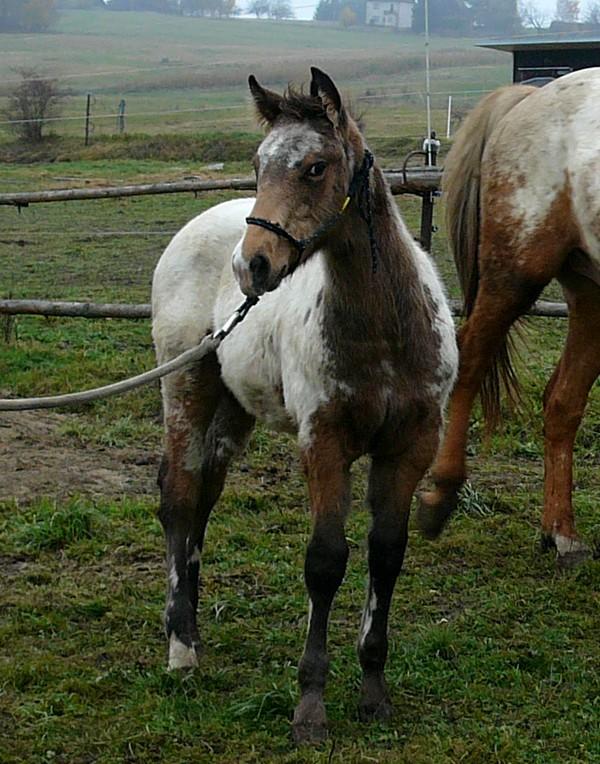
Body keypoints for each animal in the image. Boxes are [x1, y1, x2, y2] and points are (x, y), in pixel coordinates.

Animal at [151, 67, 458, 742]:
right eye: (258, 164)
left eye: (316, 167)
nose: (252, 265)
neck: (386, 333)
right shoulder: (324, 441)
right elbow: (325, 560)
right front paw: (310, 706)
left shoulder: (412, 443)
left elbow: (386, 553)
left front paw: (373, 690)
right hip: (185, 386)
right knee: (179, 496)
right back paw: (181, 648)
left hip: (233, 406)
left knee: (204, 497)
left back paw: (193, 628)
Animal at [416, 68, 600, 568]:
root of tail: (532, 97)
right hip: (515, 272)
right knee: (472, 360)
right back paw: (440, 496)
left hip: (591, 291)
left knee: (562, 402)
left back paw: (562, 534)